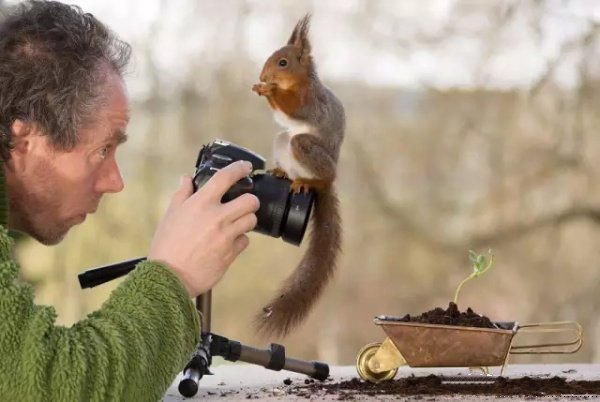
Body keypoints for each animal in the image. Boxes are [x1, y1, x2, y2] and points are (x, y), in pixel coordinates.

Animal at [250, 14, 344, 338]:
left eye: (283, 62)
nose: (263, 74)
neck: (300, 82)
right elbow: (282, 116)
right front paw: (262, 87)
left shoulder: (311, 102)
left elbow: (295, 111)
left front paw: (269, 90)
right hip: (284, 142)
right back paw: (283, 172)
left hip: (307, 150)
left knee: (321, 174)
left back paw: (309, 182)